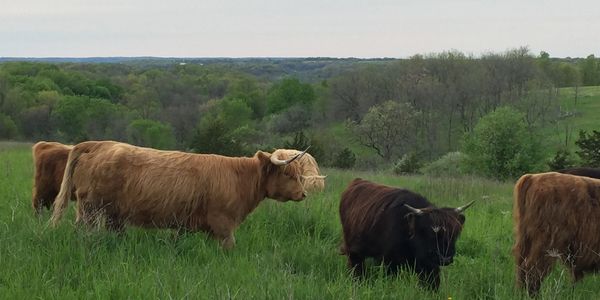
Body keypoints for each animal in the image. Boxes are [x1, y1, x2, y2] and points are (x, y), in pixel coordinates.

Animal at [51, 142, 310, 250]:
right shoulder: (223, 222)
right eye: (288, 173)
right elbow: (229, 246)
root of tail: (98, 144)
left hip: (113, 214)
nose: (303, 193)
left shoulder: (189, 224)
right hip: (90, 208)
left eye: (299, 174)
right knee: (84, 230)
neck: (240, 179)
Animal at [338, 178, 474, 290]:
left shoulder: (429, 264)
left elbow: (432, 283)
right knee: (356, 267)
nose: (445, 258)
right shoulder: (390, 262)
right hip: (353, 249)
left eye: (455, 233)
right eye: (428, 232)